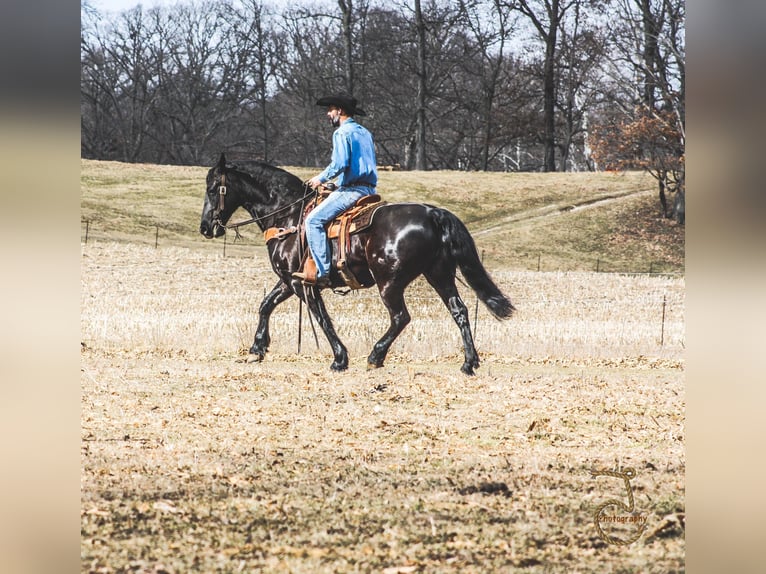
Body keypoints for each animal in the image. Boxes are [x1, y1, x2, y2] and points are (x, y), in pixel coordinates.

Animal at [201, 155, 520, 376]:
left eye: (214, 188)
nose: (205, 228)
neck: (288, 215)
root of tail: (433, 213)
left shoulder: (302, 284)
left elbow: (322, 319)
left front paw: (340, 359)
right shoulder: (289, 280)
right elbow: (266, 305)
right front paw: (257, 349)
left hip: (390, 283)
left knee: (400, 317)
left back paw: (375, 356)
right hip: (439, 275)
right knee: (459, 311)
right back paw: (469, 362)